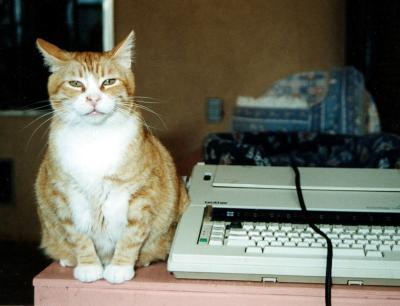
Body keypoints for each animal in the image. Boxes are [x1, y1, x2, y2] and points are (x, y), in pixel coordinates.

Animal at [35, 32, 188, 284]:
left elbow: (131, 235)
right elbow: (78, 235)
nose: (93, 99)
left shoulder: (141, 193)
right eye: (75, 84)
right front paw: (88, 266)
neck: (94, 138)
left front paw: (120, 267)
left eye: (108, 82)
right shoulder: (65, 197)